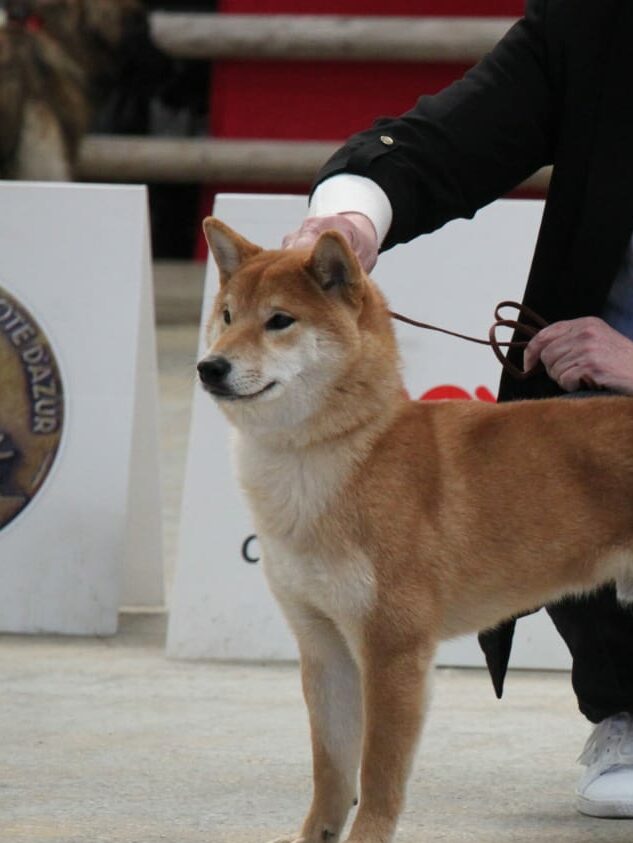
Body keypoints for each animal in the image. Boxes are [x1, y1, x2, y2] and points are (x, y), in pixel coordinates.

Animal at [198, 219, 632, 843]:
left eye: (279, 320)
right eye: (228, 316)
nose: (210, 367)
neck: (331, 459)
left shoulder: (393, 648)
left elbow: (378, 775)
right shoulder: (322, 644)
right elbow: (331, 774)